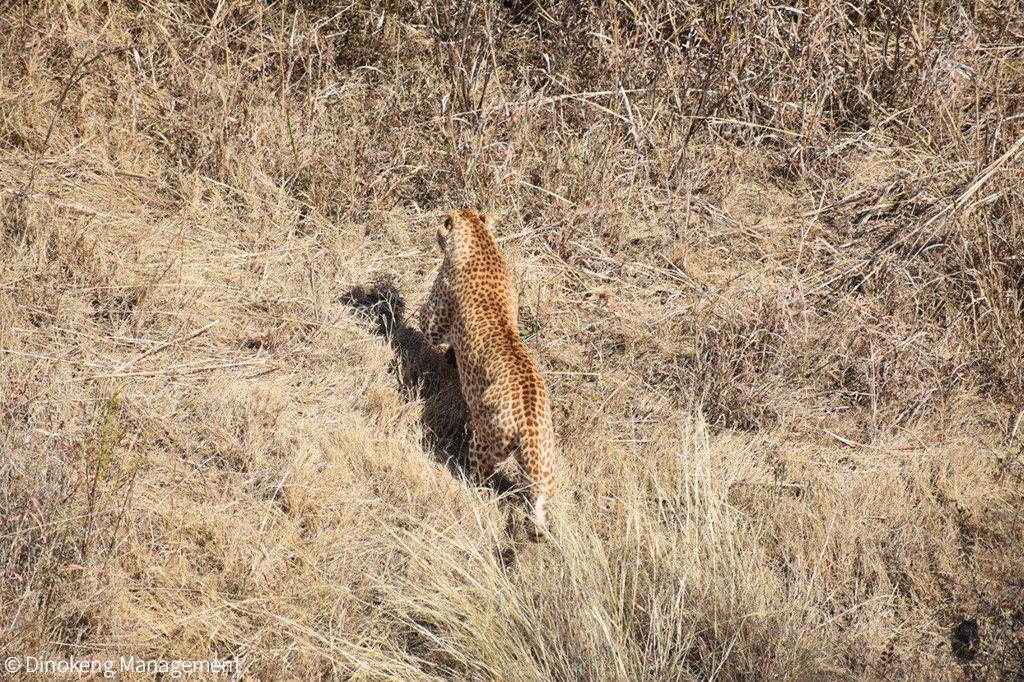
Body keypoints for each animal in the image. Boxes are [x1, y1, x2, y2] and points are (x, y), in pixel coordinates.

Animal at [419, 208, 557, 532]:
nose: (435, 227)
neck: (481, 242)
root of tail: (530, 425)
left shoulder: (435, 320)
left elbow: (420, 320)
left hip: (484, 440)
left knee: (481, 479)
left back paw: (466, 483)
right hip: (545, 459)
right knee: (541, 493)